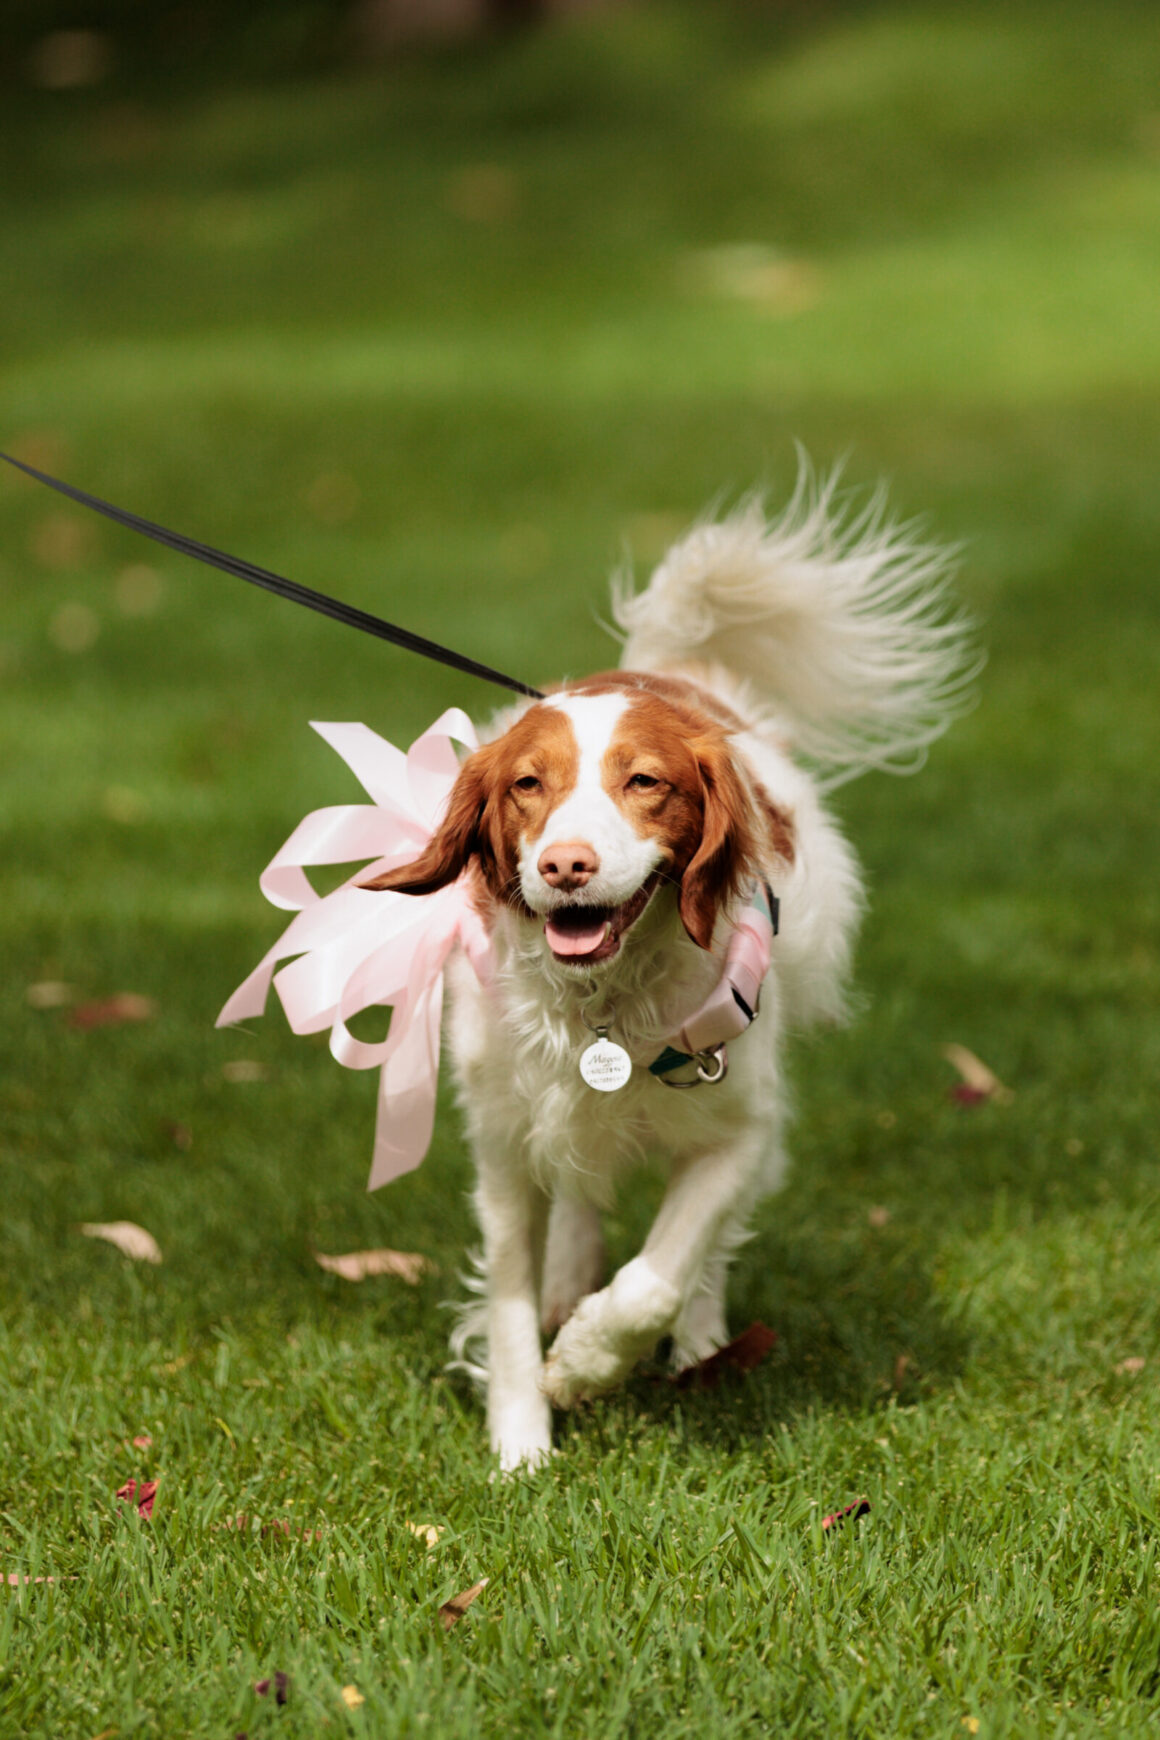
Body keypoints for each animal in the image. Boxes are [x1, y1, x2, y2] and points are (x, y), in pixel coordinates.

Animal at [363, 477, 973, 1469]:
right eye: (528, 785)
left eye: (644, 782)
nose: (566, 865)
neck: (604, 1007)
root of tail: (676, 674)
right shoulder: (503, 1143)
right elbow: (509, 1301)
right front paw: (522, 1443)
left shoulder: (739, 1129)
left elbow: (660, 1272)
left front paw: (585, 1363)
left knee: (703, 1252)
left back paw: (698, 1340)